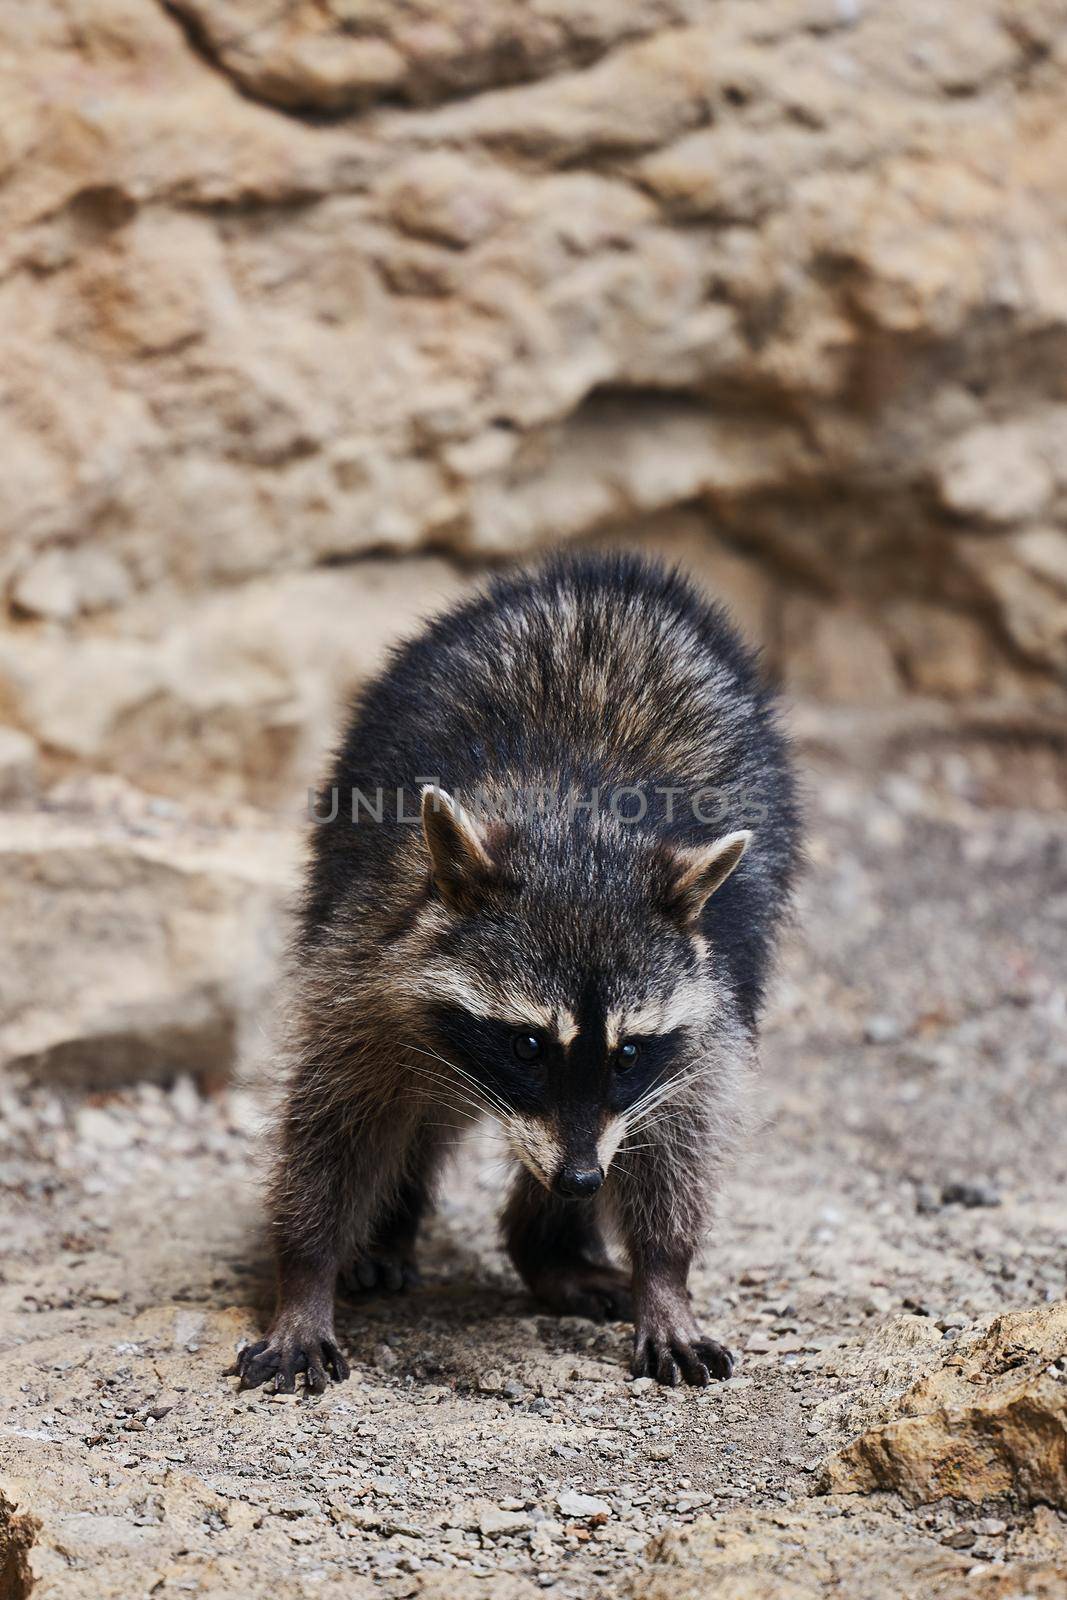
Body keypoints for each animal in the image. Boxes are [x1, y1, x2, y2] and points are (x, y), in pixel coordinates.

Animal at [235, 547, 799, 1388]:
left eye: (628, 1052)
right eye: (528, 1044)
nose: (578, 1182)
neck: (581, 830)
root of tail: (607, 576)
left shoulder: (710, 998)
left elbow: (677, 1131)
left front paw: (664, 1274)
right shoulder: (368, 951)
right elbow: (335, 1116)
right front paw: (305, 1273)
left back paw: (551, 1246)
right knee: (408, 1108)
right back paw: (390, 1229)